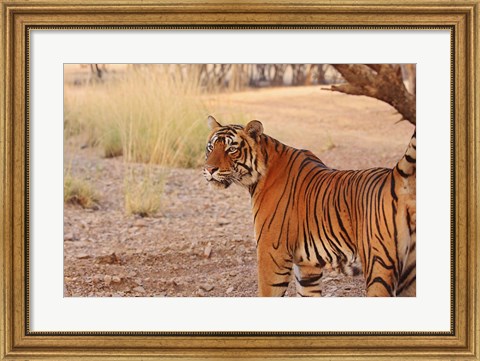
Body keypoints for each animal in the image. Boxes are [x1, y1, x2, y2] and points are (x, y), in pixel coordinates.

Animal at [203, 114, 416, 296]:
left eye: (231, 149)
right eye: (210, 148)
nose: (209, 169)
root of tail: (396, 175)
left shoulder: (272, 254)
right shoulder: (307, 266)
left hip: (379, 266)